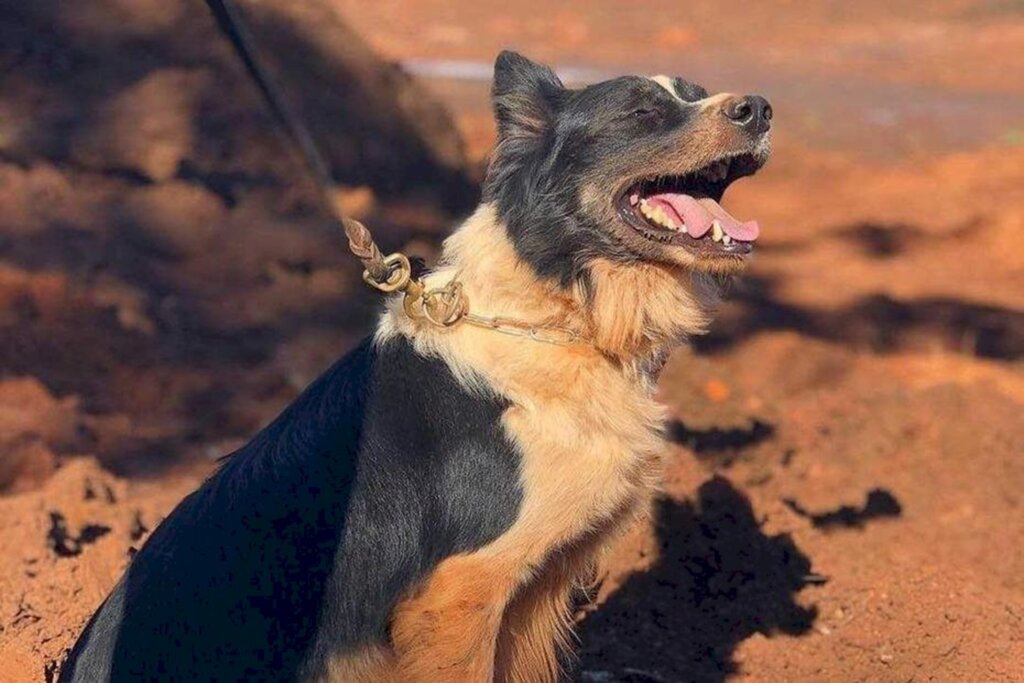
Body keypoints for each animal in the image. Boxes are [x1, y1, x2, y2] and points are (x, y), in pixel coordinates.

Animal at [59, 50, 770, 679]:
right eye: (641, 113)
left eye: (693, 92)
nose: (760, 108)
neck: (558, 314)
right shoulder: (461, 587)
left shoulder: (531, 591)